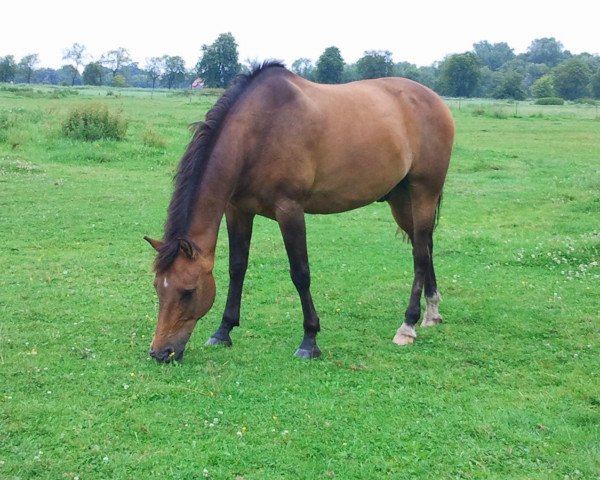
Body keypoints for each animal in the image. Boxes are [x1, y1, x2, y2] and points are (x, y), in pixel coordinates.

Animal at [145, 62, 452, 364]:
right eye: (158, 288)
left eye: (188, 292)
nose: (161, 353)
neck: (259, 132)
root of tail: (436, 100)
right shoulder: (238, 211)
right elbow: (237, 267)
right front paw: (223, 331)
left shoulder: (290, 210)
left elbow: (300, 273)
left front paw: (310, 340)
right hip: (400, 199)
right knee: (424, 245)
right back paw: (432, 311)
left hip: (424, 192)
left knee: (420, 255)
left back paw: (408, 325)